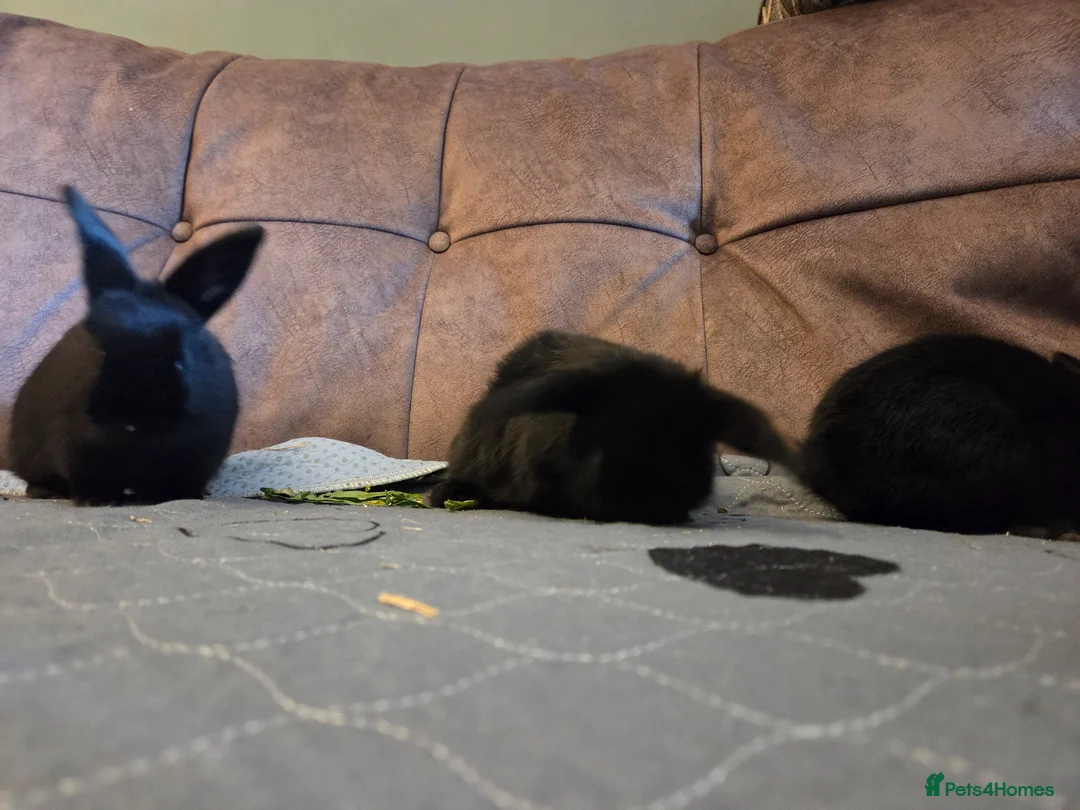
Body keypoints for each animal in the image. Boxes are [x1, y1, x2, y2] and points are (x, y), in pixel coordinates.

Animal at [9, 186, 264, 506]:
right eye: (100, 351)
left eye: (180, 359)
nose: (132, 416)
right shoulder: (74, 450)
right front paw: (96, 500)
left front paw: (183, 496)